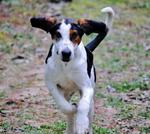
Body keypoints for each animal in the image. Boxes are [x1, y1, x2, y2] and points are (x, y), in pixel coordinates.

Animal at [29, 6, 114, 134]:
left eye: (74, 35)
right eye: (57, 35)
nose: (66, 53)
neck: (66, 65)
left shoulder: (87, 88)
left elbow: (83, 106)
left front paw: (81, 124)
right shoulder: (51, 85)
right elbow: (64, 106)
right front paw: (73, 109)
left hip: (91, 99)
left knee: (89, 114)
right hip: (67, 93)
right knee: (68, 114)